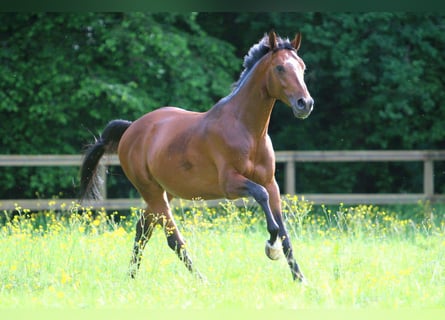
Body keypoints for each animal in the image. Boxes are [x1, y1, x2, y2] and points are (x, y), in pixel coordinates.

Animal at [80, 31, 316, 282]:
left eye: (302, 66)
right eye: (280, 68)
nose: (305, 104)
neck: (248, 131)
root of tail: (131, 128)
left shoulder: (271, 183)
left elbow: (284, 231)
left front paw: (300, 279)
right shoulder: (231, 184)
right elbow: (262, 199)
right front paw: (270, 248)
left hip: (164, 192)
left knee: (143, 227)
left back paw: (132, 276)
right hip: (152, 192)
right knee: (172, 238)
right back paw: (201, 280)